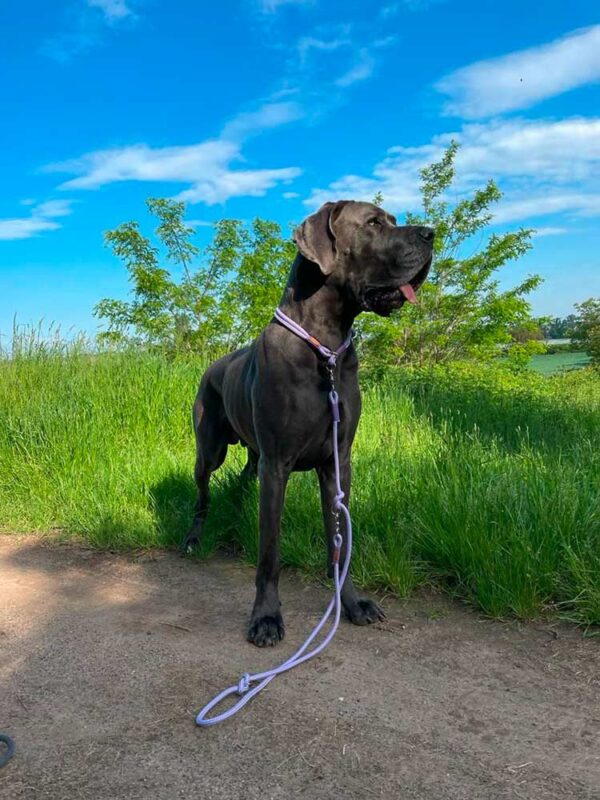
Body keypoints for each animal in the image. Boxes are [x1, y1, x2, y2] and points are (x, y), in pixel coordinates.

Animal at [180, 202, 434, 648]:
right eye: (373, 223)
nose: (432, 234)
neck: (325, 348)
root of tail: (213, 365)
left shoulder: (337, 462)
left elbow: (341, 543)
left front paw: (351, 603)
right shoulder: (277, 464)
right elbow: (269, 552)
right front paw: (266, 617)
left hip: (253, 453)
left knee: (243, 476)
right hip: (209, 451)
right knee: (203, 495)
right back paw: (195, 538)